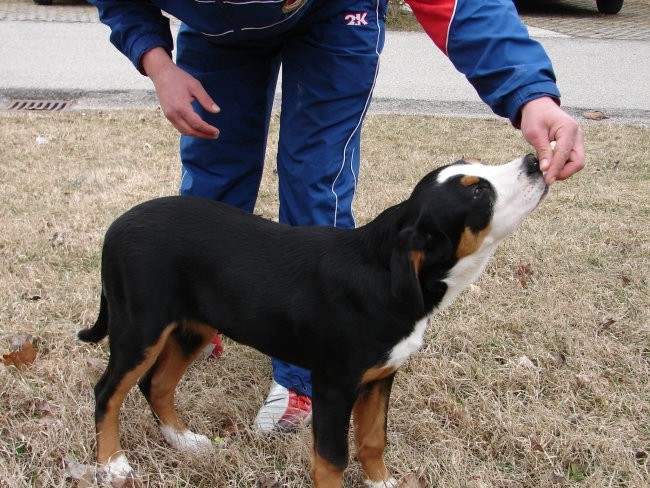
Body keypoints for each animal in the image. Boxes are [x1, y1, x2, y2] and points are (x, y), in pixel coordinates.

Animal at [77, 154, 548, 486]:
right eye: (478, 195)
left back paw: (184, 441)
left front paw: (382, 484)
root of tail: (116, 225)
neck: (384, 277)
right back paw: (113, 465)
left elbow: (372, 440)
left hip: (194, 326)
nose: (535, 161)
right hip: (141, 327)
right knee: (108, 392)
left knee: (155, 383)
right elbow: (332, 459)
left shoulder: (381, 377)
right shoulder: (334, 385)